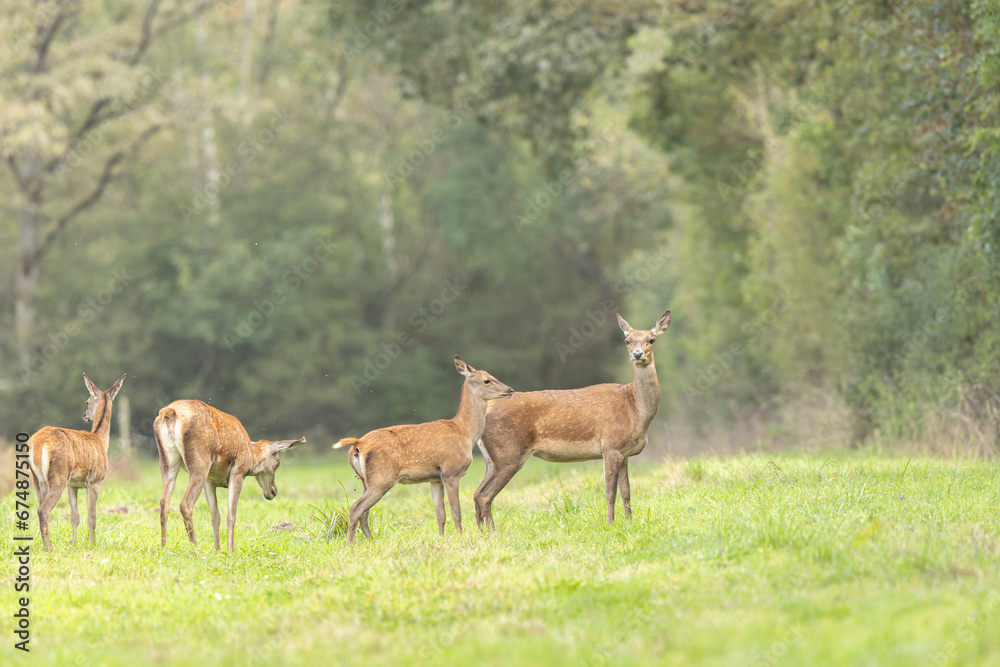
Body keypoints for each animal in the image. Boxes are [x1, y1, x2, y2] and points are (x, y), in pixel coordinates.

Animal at [27, 372, 126, 552]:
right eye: (87, 400)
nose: (85, 415)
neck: (101, 441)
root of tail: (38, 443)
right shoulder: (94, 481)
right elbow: (92, 516)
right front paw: (92, 545)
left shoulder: (73, 485)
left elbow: (75, 516)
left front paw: (73, 545)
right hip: (58, 476)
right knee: (43, 510)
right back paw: (50, 548)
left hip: (38, 479)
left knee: (39, 507)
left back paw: (45, 546)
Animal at [153, 399, 305, 553]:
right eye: (278, 463)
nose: (273, 491)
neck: (251, 457)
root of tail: (171, 413)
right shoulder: (238, 472)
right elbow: (231, 515)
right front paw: (230, 551)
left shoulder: (209, 481)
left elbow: (215, 515)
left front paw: (218, 550)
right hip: (200, 463)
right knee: (185, 504)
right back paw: (195, 550)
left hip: (167, 462)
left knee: (164, 502)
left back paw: (163, 548)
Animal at [333, 356, 514, 544]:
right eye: (487, 380)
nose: (510, 390)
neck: (465, 432)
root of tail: (358, 444)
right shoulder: (451, 471)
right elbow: (456, 511)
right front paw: (460, 536)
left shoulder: (435, 479)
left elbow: (440, 514)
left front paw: (441, 538)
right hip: (381, 478)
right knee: (356, 508)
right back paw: (350, 544)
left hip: (366, 481)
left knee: (364, 511)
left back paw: (371, 541)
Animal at [474, 309, 671, 528]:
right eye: (627, 340)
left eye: (651, 339)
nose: (638, 355)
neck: (635, 409)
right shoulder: (611, 445)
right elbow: (610, 492)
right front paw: (610, 524)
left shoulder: (625, 453)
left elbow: (626, 492)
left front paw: (629, 522)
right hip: (509, 453)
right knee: (485, 496)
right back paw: (492, 531)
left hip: (492, 459)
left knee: (476, 493)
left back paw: (480, 531)